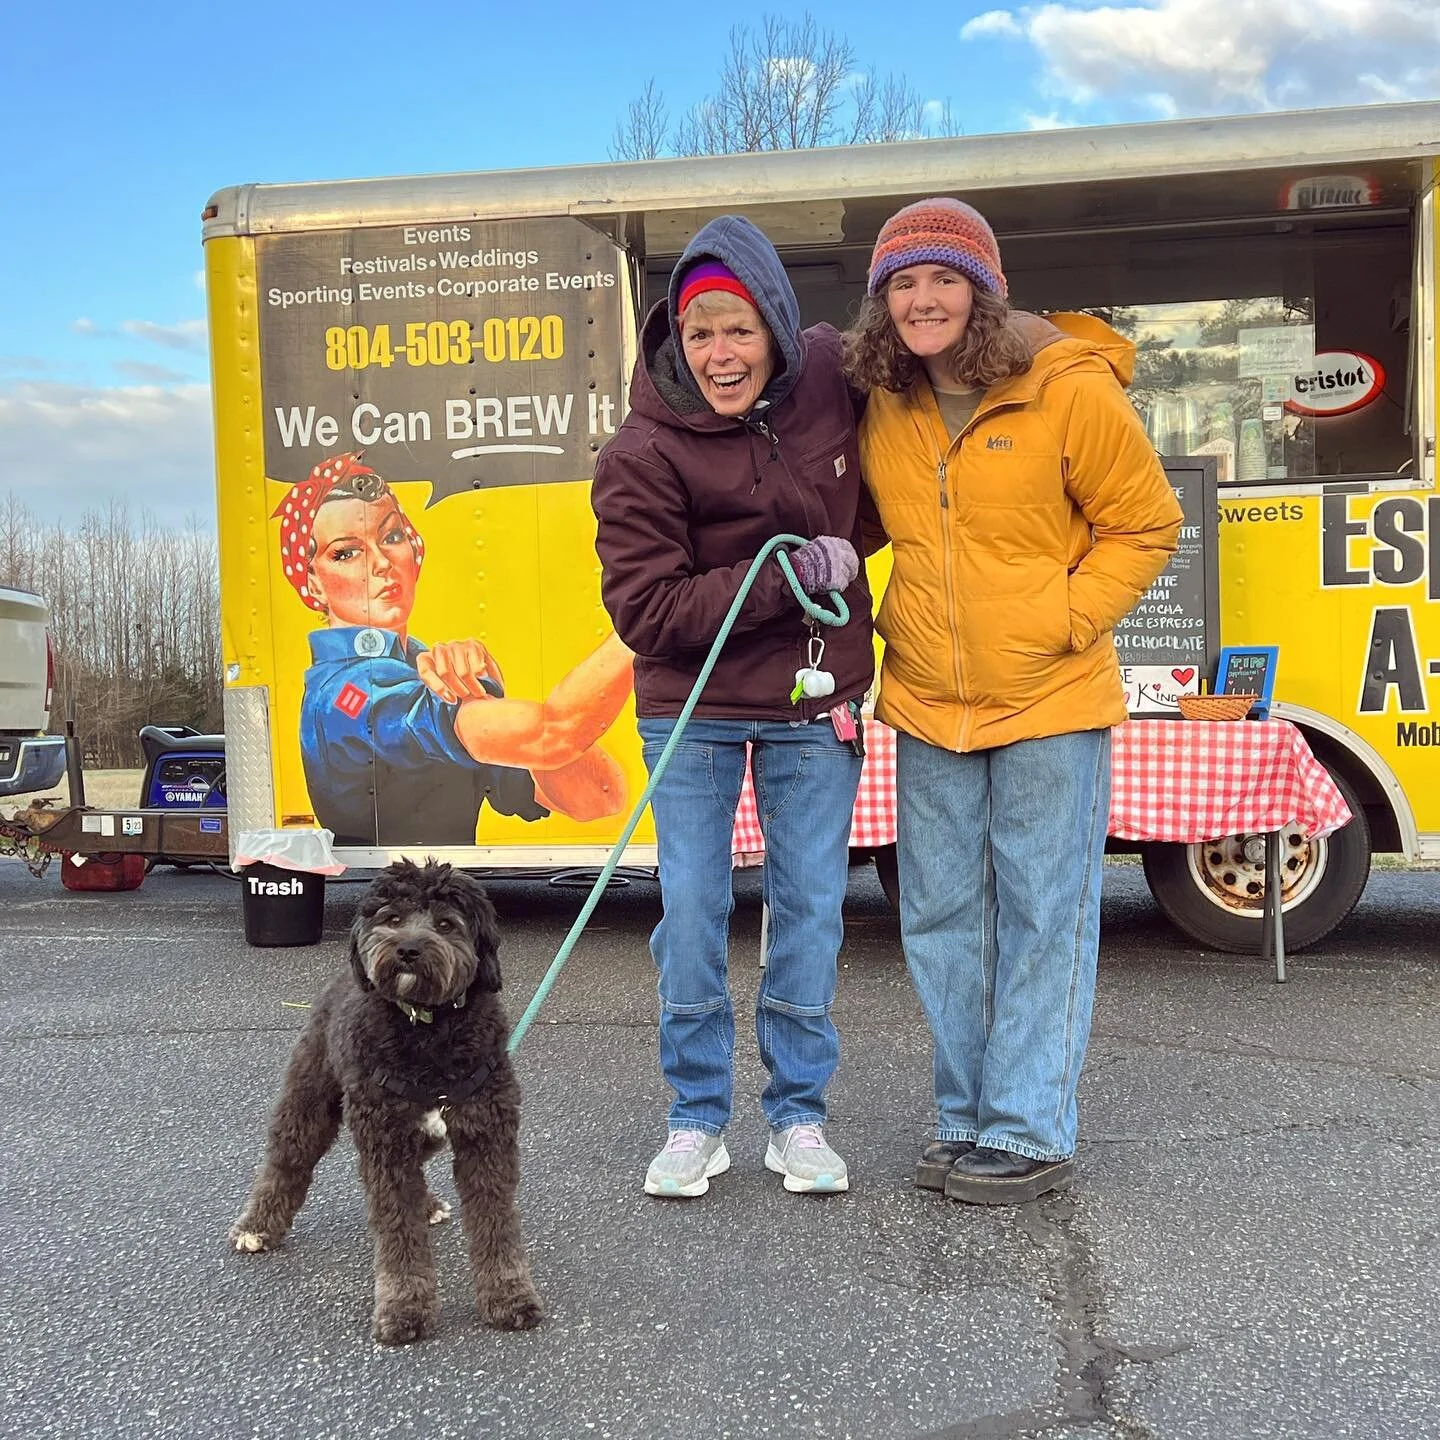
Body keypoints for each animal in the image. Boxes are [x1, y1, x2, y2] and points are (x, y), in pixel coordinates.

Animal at [230, 852, 544, 1336]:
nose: (407, 949)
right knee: (287, 1159)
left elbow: (496, 1223)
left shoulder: (484, 1135)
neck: (429, 1029)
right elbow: (397, 1227)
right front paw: (404, 1307)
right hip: (311, 1100)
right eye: (393, 918)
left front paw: (509, 1297)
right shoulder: (385, 1141)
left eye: (446, 924)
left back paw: (428, 1204)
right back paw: (257, 1226)